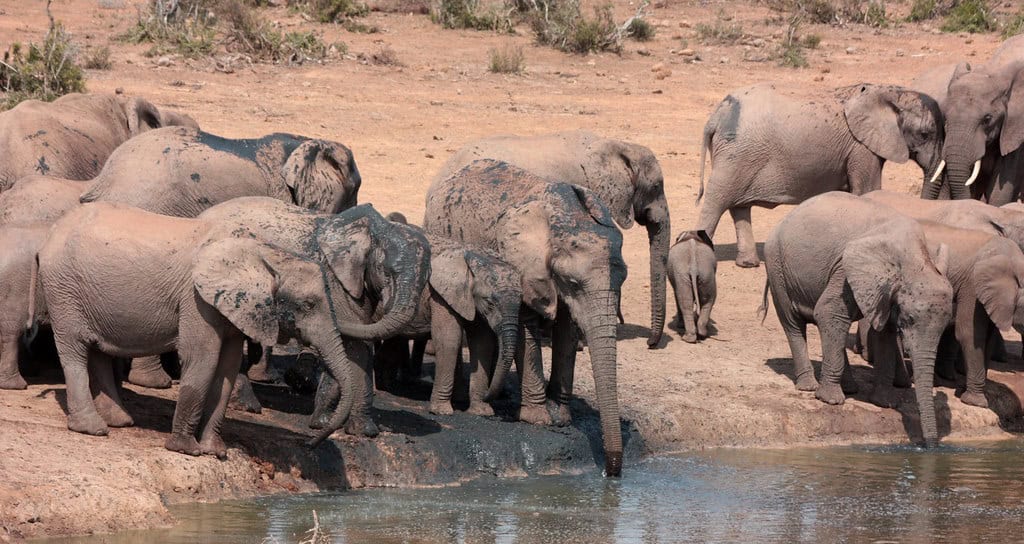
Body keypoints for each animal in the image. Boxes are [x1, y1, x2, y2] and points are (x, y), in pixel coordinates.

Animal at [34, 202, 408, 456]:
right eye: (307, 306)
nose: (310, 442)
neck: (266, 254)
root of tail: (51, 231)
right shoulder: (196, 298)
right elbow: (202, 360)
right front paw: (186, 449)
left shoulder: (233, 305)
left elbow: (226, 369)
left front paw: (215, 451)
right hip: (63, 288)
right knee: (75, 350)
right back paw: (92, 429)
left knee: (97, 351)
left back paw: (119, 422)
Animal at [197, 197, 431, 437]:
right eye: (387, 272)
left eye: (427, 279)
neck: (376, 230)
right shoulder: (336, 280)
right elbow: (354, 347)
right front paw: (340, 426)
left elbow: (357, 347)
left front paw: (346, 427)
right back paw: (247, 405)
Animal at [424, 159, 627, 477]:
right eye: (574, 282)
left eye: (624, 278)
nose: (611, 473)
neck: (567, 216)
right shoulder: (523, 264)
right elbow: (526, 325)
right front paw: (538, 418)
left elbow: (567, 330)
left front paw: (561, 417)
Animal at [696, 83, 944, 268]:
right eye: (925, 134)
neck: (893, 91)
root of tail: (716, 116)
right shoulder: (861, 148)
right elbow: (868, 190)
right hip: (737, 153)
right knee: (716, 200)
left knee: (738, 206)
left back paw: (748, 264)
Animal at [764, 192, 953, 447]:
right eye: (909, 319)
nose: (930, 445)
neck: (915, 257)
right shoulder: (844, 270)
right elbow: (828, 312)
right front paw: (831, 401)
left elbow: (885, 334)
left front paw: (886, 403)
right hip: (777, 267)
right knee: (794, 324)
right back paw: (810, 387)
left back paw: (849, 387)